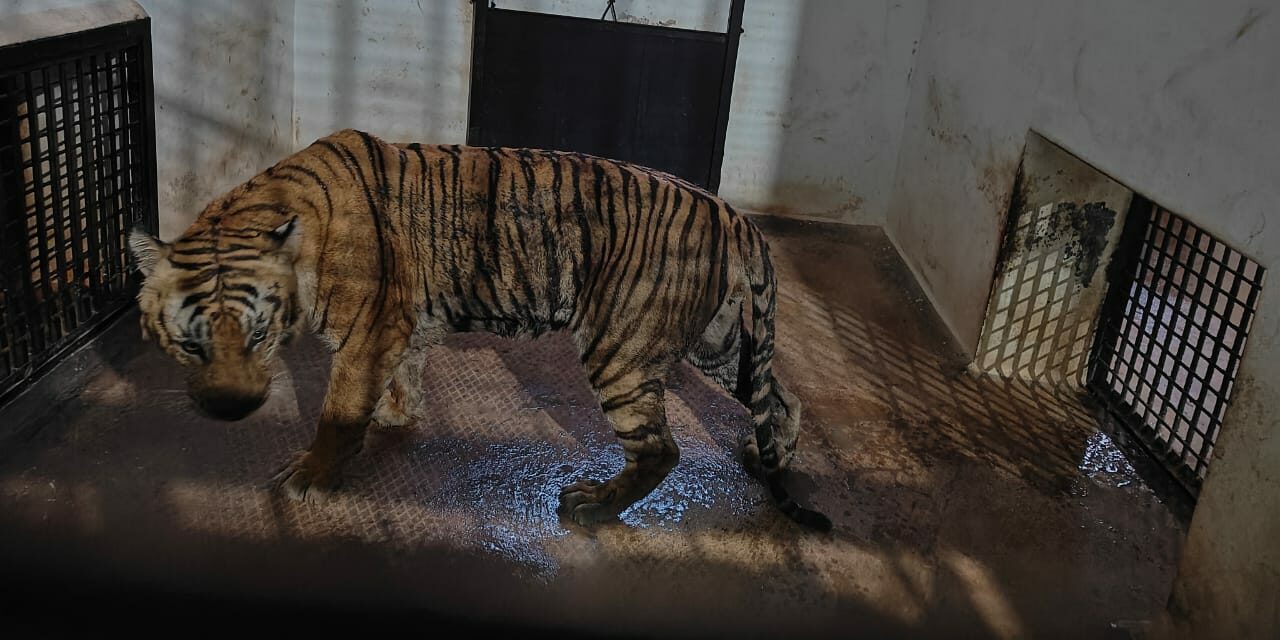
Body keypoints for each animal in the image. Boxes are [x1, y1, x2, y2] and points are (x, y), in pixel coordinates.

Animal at [128, 128, 831, 531]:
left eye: (257, 336)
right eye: (190, 342)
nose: (230, 409)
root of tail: (733, 214)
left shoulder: (366, 330)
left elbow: (338, 411)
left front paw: (313, 475)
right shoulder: (397, 325)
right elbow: (401, 375)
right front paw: (396, 414)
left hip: (622, 347)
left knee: (662, 450)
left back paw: (594, 506)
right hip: (720, 343)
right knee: (782, 397)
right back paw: (769, 453)